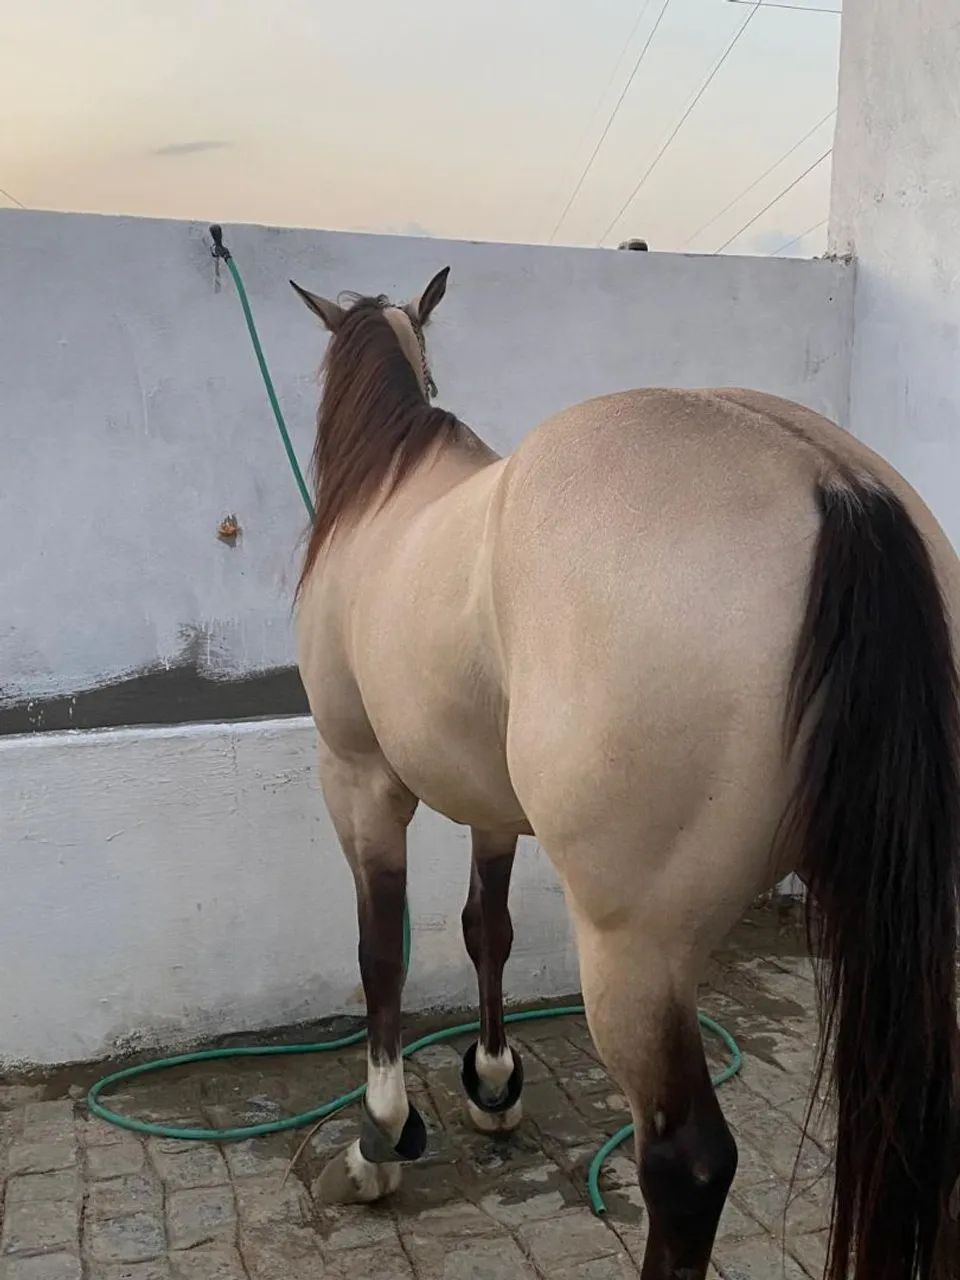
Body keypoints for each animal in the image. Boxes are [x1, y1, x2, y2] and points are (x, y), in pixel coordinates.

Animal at [289, 268, 960, 1280]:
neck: (385, 498)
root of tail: (836, 484)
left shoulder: (358, 780)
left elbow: (379, 954)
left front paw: (380, 1140)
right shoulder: (493, 808)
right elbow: (487, 930)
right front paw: (492, 1086)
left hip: (636, 953)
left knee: (686, 1164)